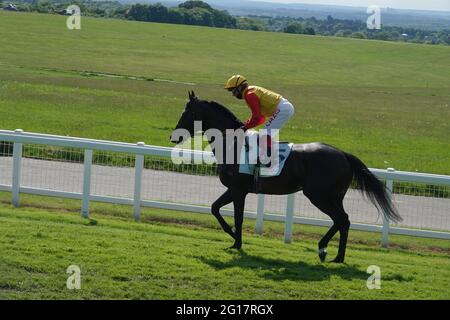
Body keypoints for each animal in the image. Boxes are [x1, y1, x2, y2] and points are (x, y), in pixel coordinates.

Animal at [171, 92, 400, 262]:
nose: (173, 136)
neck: (231, 144)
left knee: (342, 219)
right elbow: (231, 214)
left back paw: (330, 253)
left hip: (319, 195)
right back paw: (330, 252)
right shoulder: (240, 192)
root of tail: (343, 154)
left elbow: (219, 210)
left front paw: (234, 238)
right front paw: (236, 242)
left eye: (186, 112)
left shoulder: (236, 189)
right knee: (342, 220)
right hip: (334, 196)